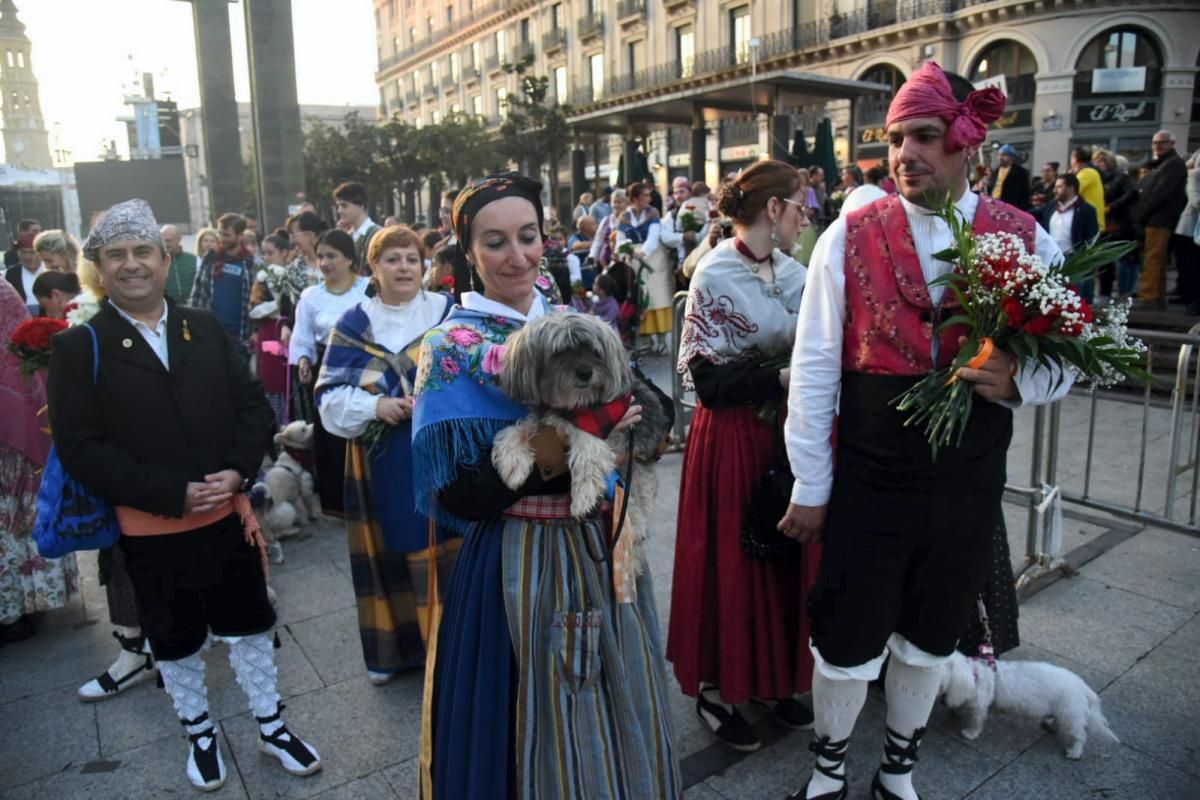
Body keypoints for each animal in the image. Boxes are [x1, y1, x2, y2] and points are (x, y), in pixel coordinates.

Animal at [492, 314, 672, 532]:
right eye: (559, 352)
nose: (585, 373)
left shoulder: (603, 428)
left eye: (594, 351)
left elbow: (586, 451)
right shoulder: (547, 418)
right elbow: (517, 430)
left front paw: (585, 498)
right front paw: (513, 463)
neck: (577, 406)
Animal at [940, 652, 1118, 758]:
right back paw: (1051, 724)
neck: (973, 675)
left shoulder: (979, 707)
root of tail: (1082, 686)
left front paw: (970, 733)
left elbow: (976, 722)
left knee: (1080, 736)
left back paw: (1074, 752)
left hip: (1070, 715)